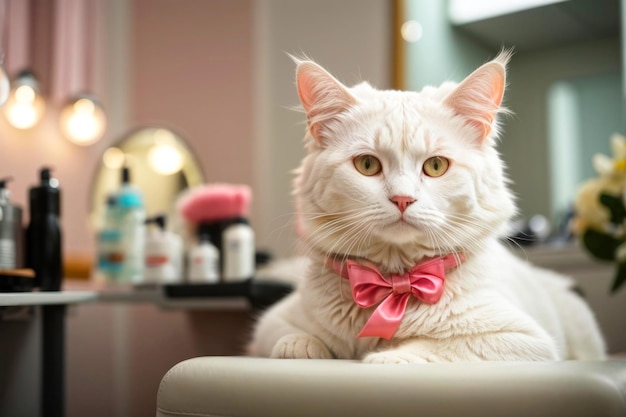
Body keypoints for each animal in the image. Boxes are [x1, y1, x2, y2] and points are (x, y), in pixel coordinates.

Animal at [249, 52, 604, 362]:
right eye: (367, 165)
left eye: (435, 166)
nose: (402, 199)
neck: (394, 284)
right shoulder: (272, 322)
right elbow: (289, 339)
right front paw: (305, 348)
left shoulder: (521, 339)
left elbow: (432, 349)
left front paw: (381, 356)